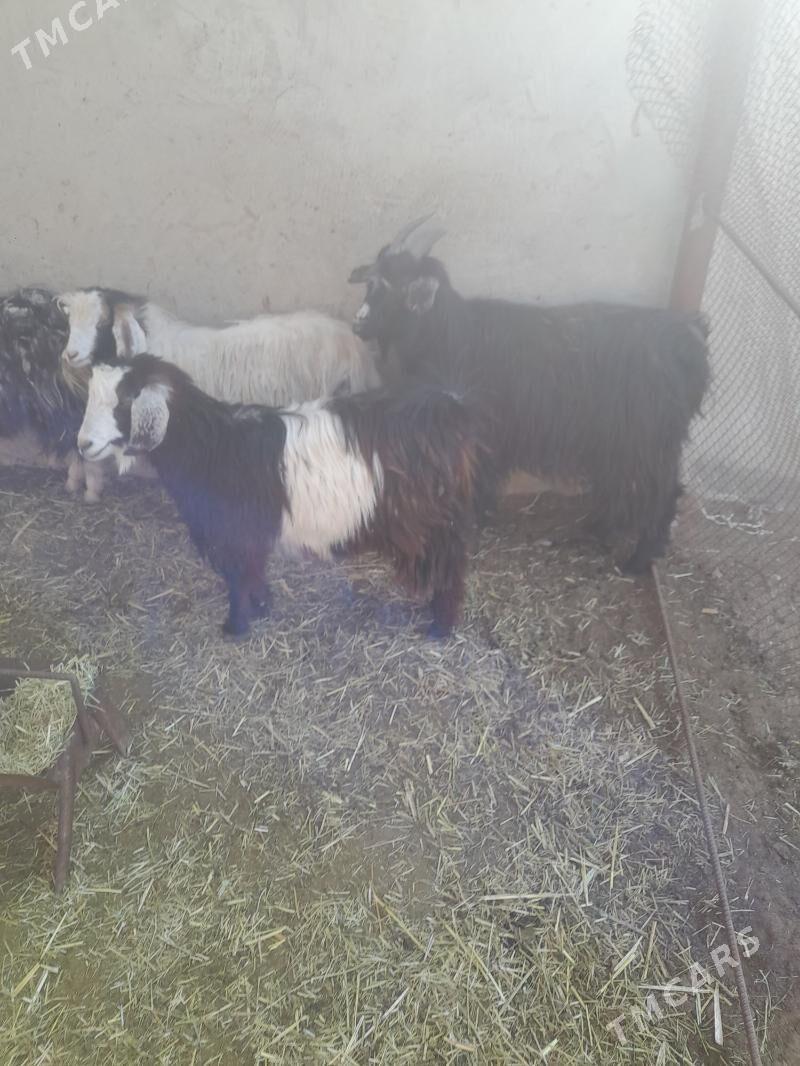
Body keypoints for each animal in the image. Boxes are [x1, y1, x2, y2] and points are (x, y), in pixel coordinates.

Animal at [77, 354, 477, 638]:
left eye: (124, 401)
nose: (83, 445)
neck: (212, 447)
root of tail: (450, 411)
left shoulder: (235, 535)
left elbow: (238, 580)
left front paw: (236, 627)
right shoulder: (249, 537)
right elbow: (254, 574)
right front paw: (262, 607)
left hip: (433, 524)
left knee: (450, 571)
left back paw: (439, 628)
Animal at [349, 217, 711, 574]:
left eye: (395, 285)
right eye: (371, 282)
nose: (358, 324)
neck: (447, 334)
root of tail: (690, 338)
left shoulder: (481, 430)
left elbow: (476, 478)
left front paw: (470, 522)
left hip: (650, 443)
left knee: (663, 493)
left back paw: (638, 560)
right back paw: (599, 530)